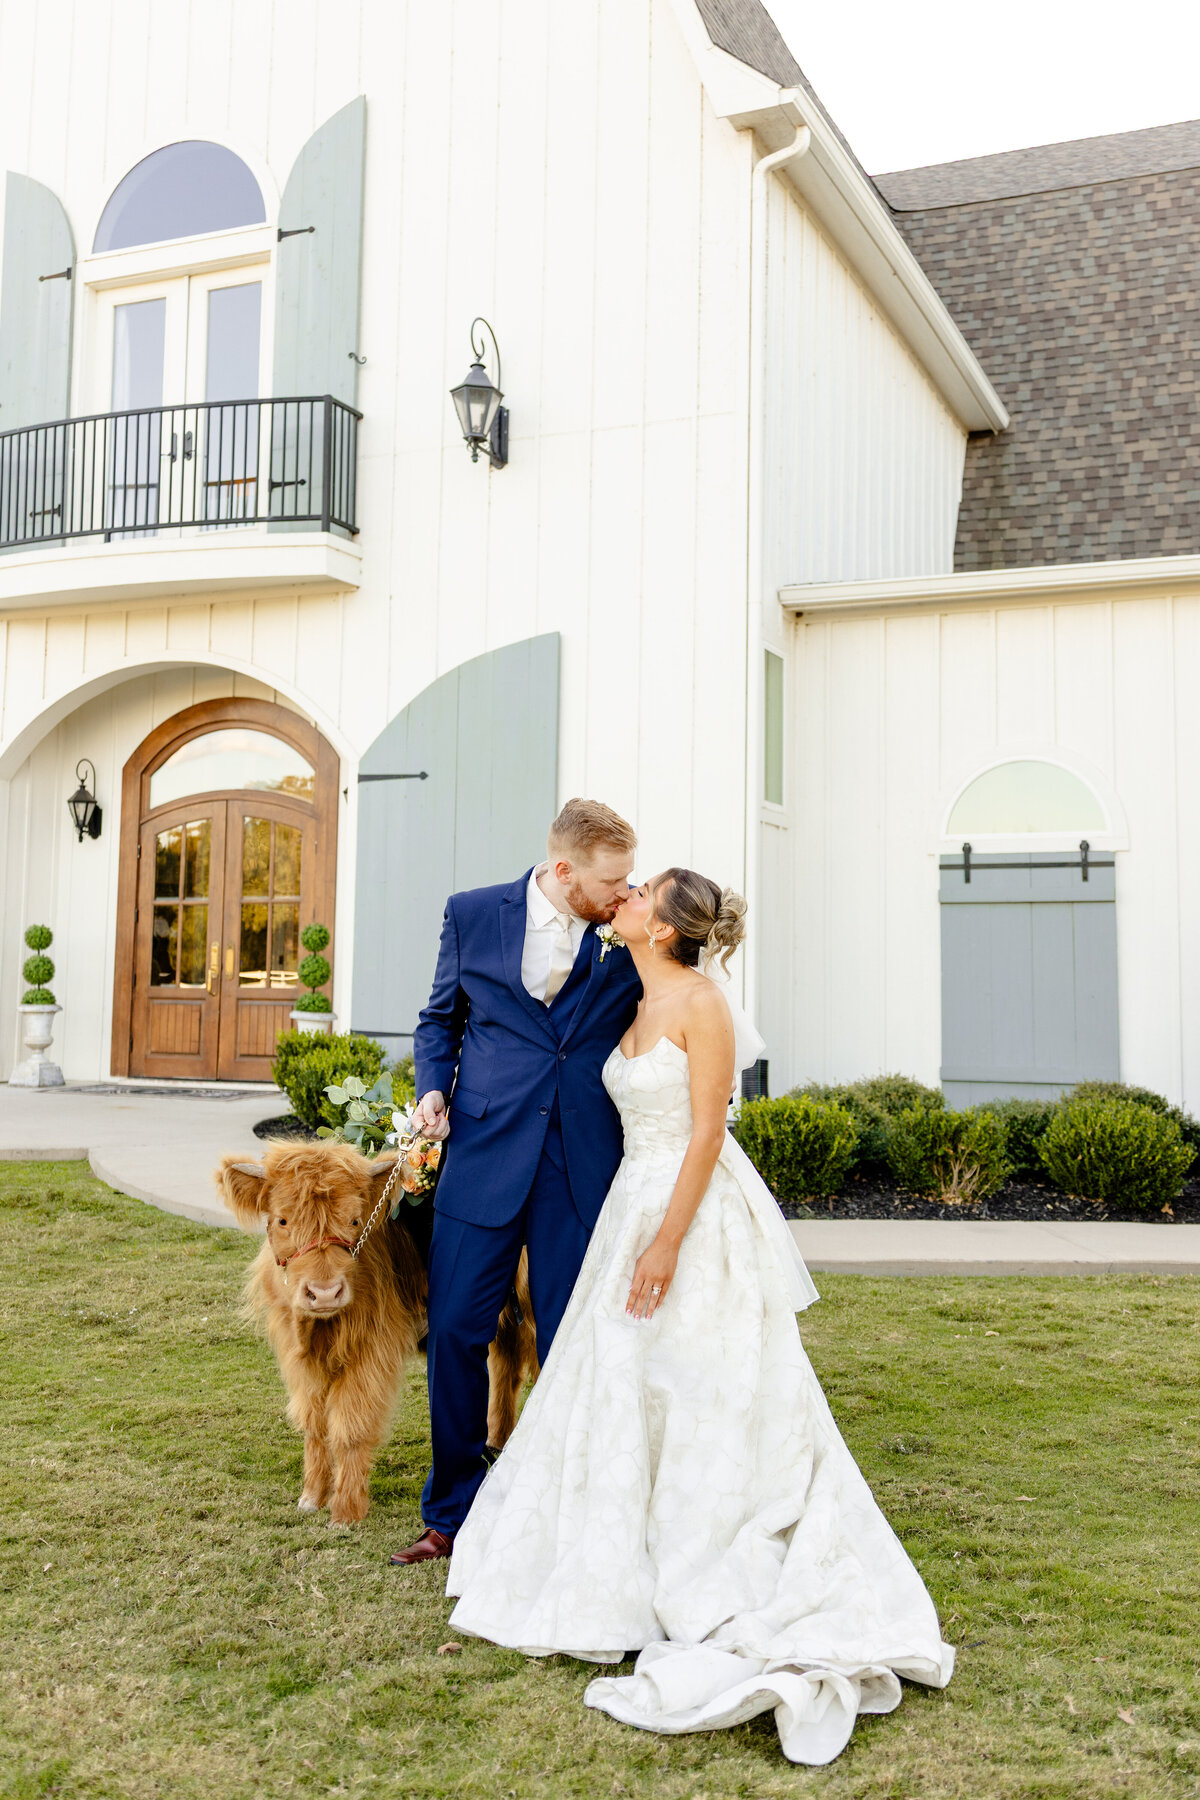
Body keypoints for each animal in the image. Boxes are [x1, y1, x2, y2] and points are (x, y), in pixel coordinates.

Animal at [218, 1141, 537, 1525]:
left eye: (355, 1221)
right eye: (283, 1220)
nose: (324, 1293)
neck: (320, 1328)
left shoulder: (370, 1352)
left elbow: (351, 1425)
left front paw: (345, 1511)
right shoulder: (301, 1358)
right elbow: (314, 1423)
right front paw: (311, 1496)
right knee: (506, 1367)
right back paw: (497, 1443)